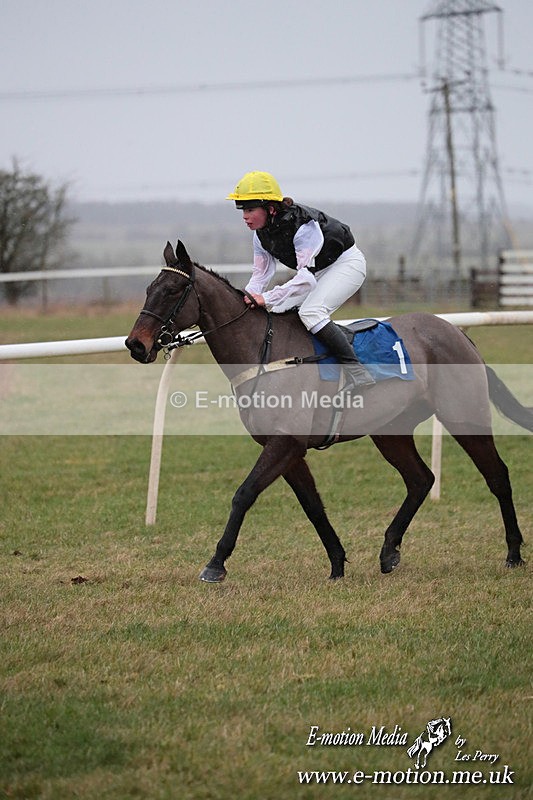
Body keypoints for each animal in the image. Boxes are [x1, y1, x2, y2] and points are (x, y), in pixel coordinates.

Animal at [125, 240, 532, 582]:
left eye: (172, 291)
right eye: (148, 290)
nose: (135, 344)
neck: (264, 352)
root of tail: (459, 334)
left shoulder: (285, 442)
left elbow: (244, 493)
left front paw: (215, 563)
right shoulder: (287, 449)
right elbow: (313, 506)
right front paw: (337, 563)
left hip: (464, 415)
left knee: (497, 476)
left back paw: (513, 553)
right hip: (390, 431)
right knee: (420, 479)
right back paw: (389, 551)